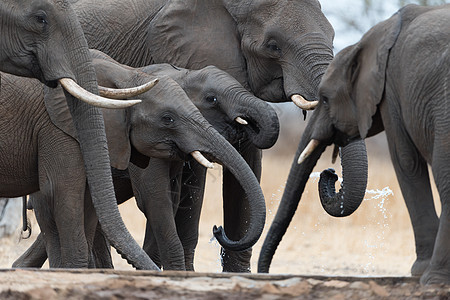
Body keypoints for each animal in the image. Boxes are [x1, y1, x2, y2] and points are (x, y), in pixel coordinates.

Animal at [258, 4, 450, 284]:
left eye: (325, 99)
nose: (330, 173)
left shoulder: (392, 90)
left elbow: (406, 161)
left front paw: (418, 272)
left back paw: (434, 278)